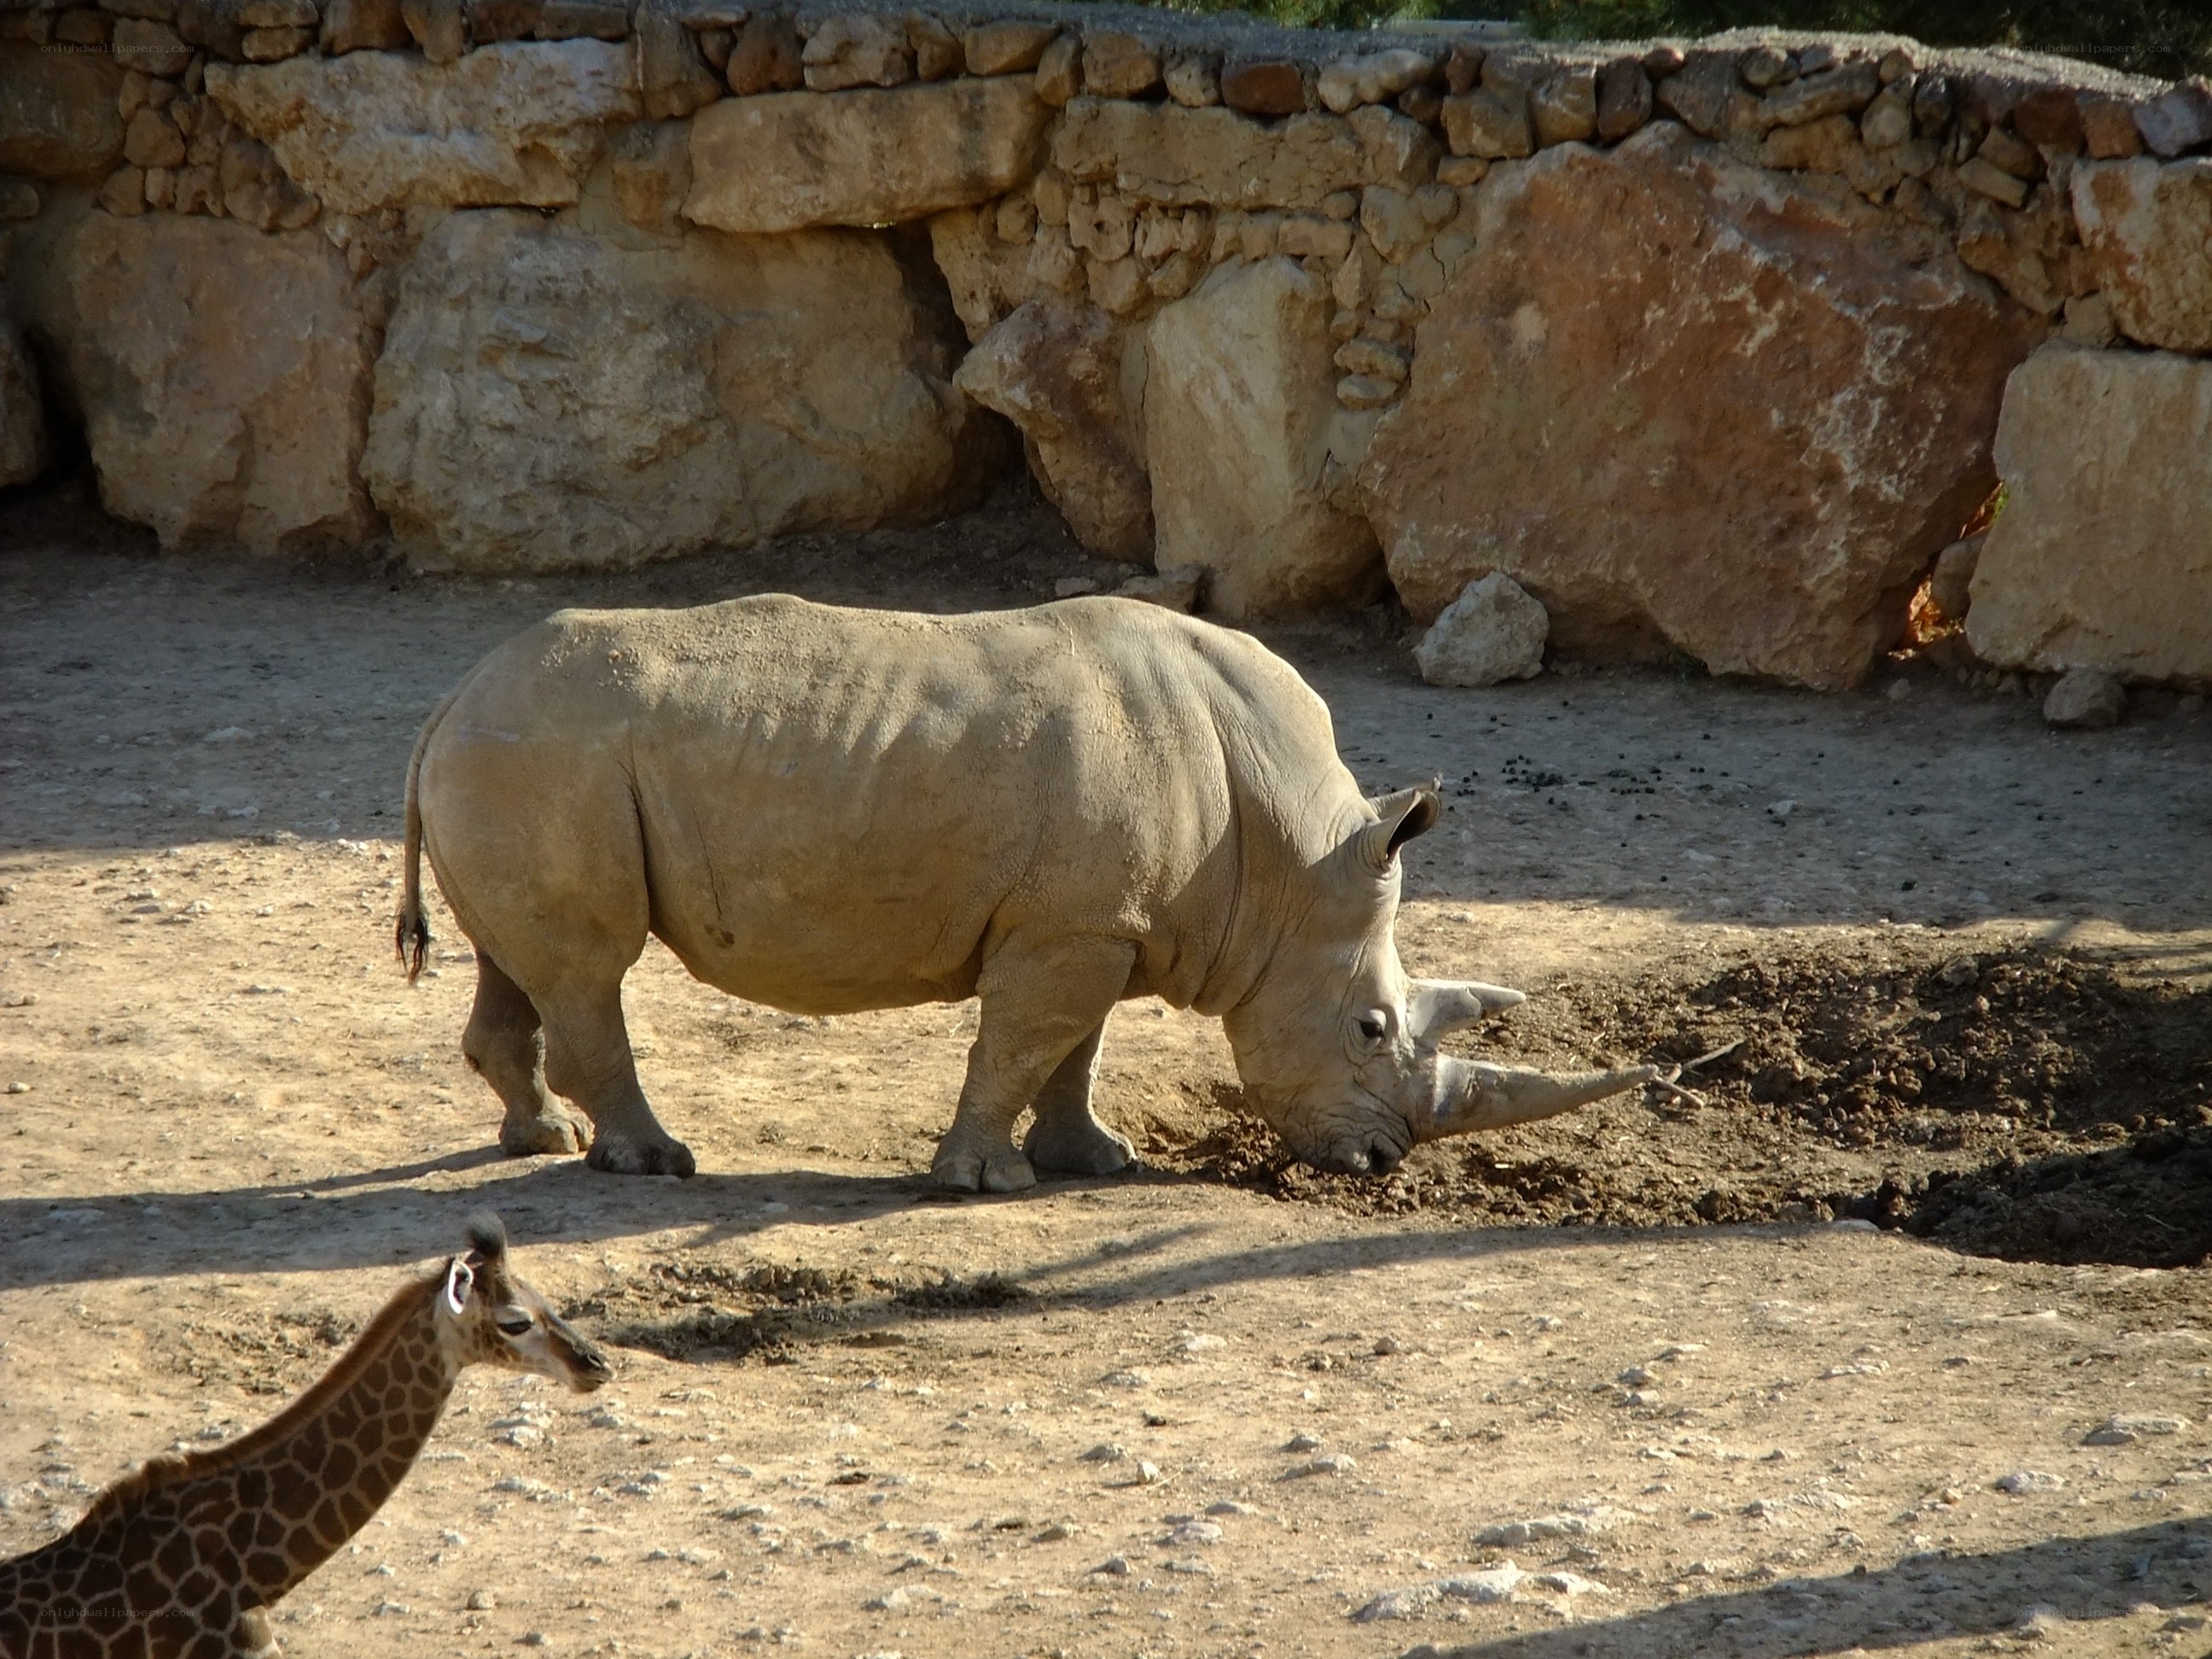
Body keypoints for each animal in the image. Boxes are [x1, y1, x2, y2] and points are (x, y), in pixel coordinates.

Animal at [396, 595, 1656, 1189]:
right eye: (1372, 1027)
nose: (1383, 1161)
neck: (1293, 861)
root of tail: (448, 698)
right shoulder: (1071, 929)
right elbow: (1019, 1044)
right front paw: (981, 1183)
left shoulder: (1099, 921)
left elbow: (1074, 1050)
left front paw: (1096, 1161)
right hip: (547, 757)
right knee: (589, 969)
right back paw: (654, 1161)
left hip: (525, 761)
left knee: (526, 963)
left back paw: (541, 1137)